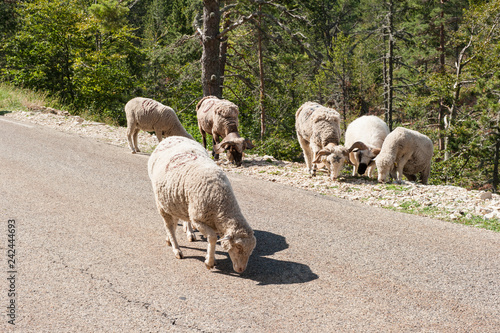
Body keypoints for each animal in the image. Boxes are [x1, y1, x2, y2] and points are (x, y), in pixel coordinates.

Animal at [147, 135, 258, 272]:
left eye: (251, 250)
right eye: (238, 247)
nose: (241, 270)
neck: (221, 204)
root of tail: (171, 137)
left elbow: (213, 239)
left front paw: (211, 258)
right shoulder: (197, 220)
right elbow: (213, 238)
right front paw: (209, 262)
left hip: (176, 202)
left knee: (174, 222)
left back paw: (172, 239)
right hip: (162, 205)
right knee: (169, 226)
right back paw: (177, 249)